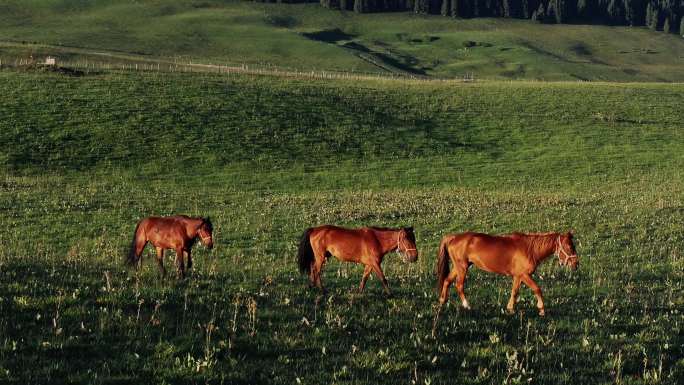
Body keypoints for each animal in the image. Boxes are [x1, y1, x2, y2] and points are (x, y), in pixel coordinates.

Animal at [438, 230, 576, 314]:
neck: (529, 249)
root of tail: (453, 237)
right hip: (462, 268)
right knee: (459, 285)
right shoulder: (524, 275)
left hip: (458, 267)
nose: (576, 264)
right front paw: (541, 309)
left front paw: (510, 308)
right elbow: (537, 289)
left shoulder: (518, 276)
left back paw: (442, 301)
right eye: (569, 247)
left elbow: (514, 292)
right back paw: (467, 305)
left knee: (447, 281)